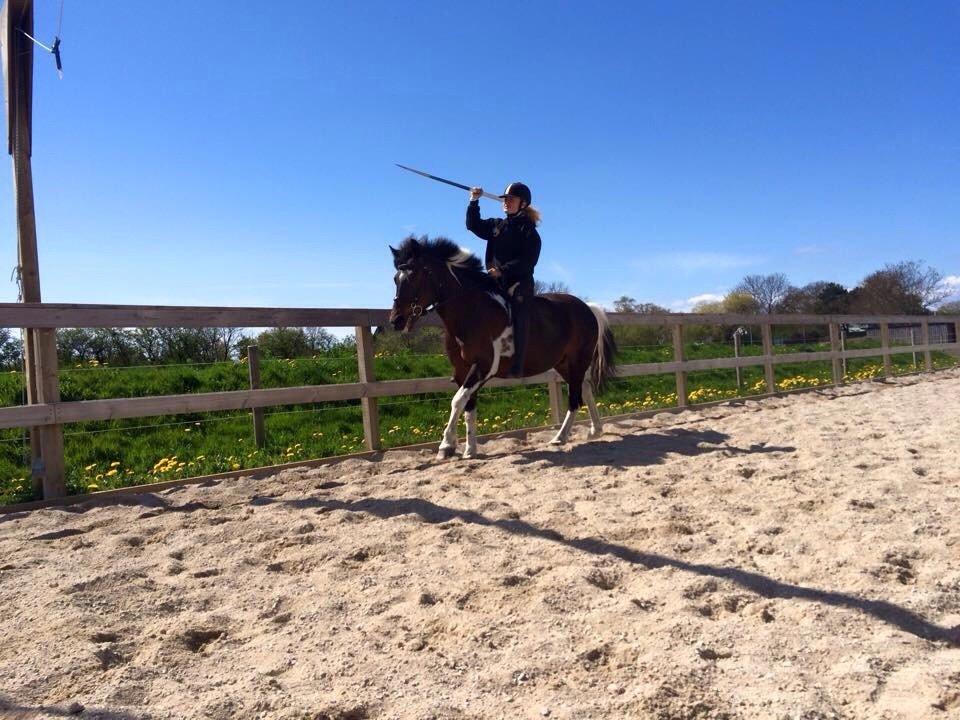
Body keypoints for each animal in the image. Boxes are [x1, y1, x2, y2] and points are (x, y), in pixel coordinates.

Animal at [388, 235, 617, 460]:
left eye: (415, 275)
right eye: (396, 278)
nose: (396, 320)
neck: (471, 312)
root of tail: (587, 308)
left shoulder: (484, 367)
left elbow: (457, 401)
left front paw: (446, 446)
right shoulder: (462, 370)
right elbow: (468, 406)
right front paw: (469, 449)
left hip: (578, 361)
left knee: (575, 398)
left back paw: (560, 438)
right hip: (564, 364)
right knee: (585, 389)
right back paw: (594, 431)